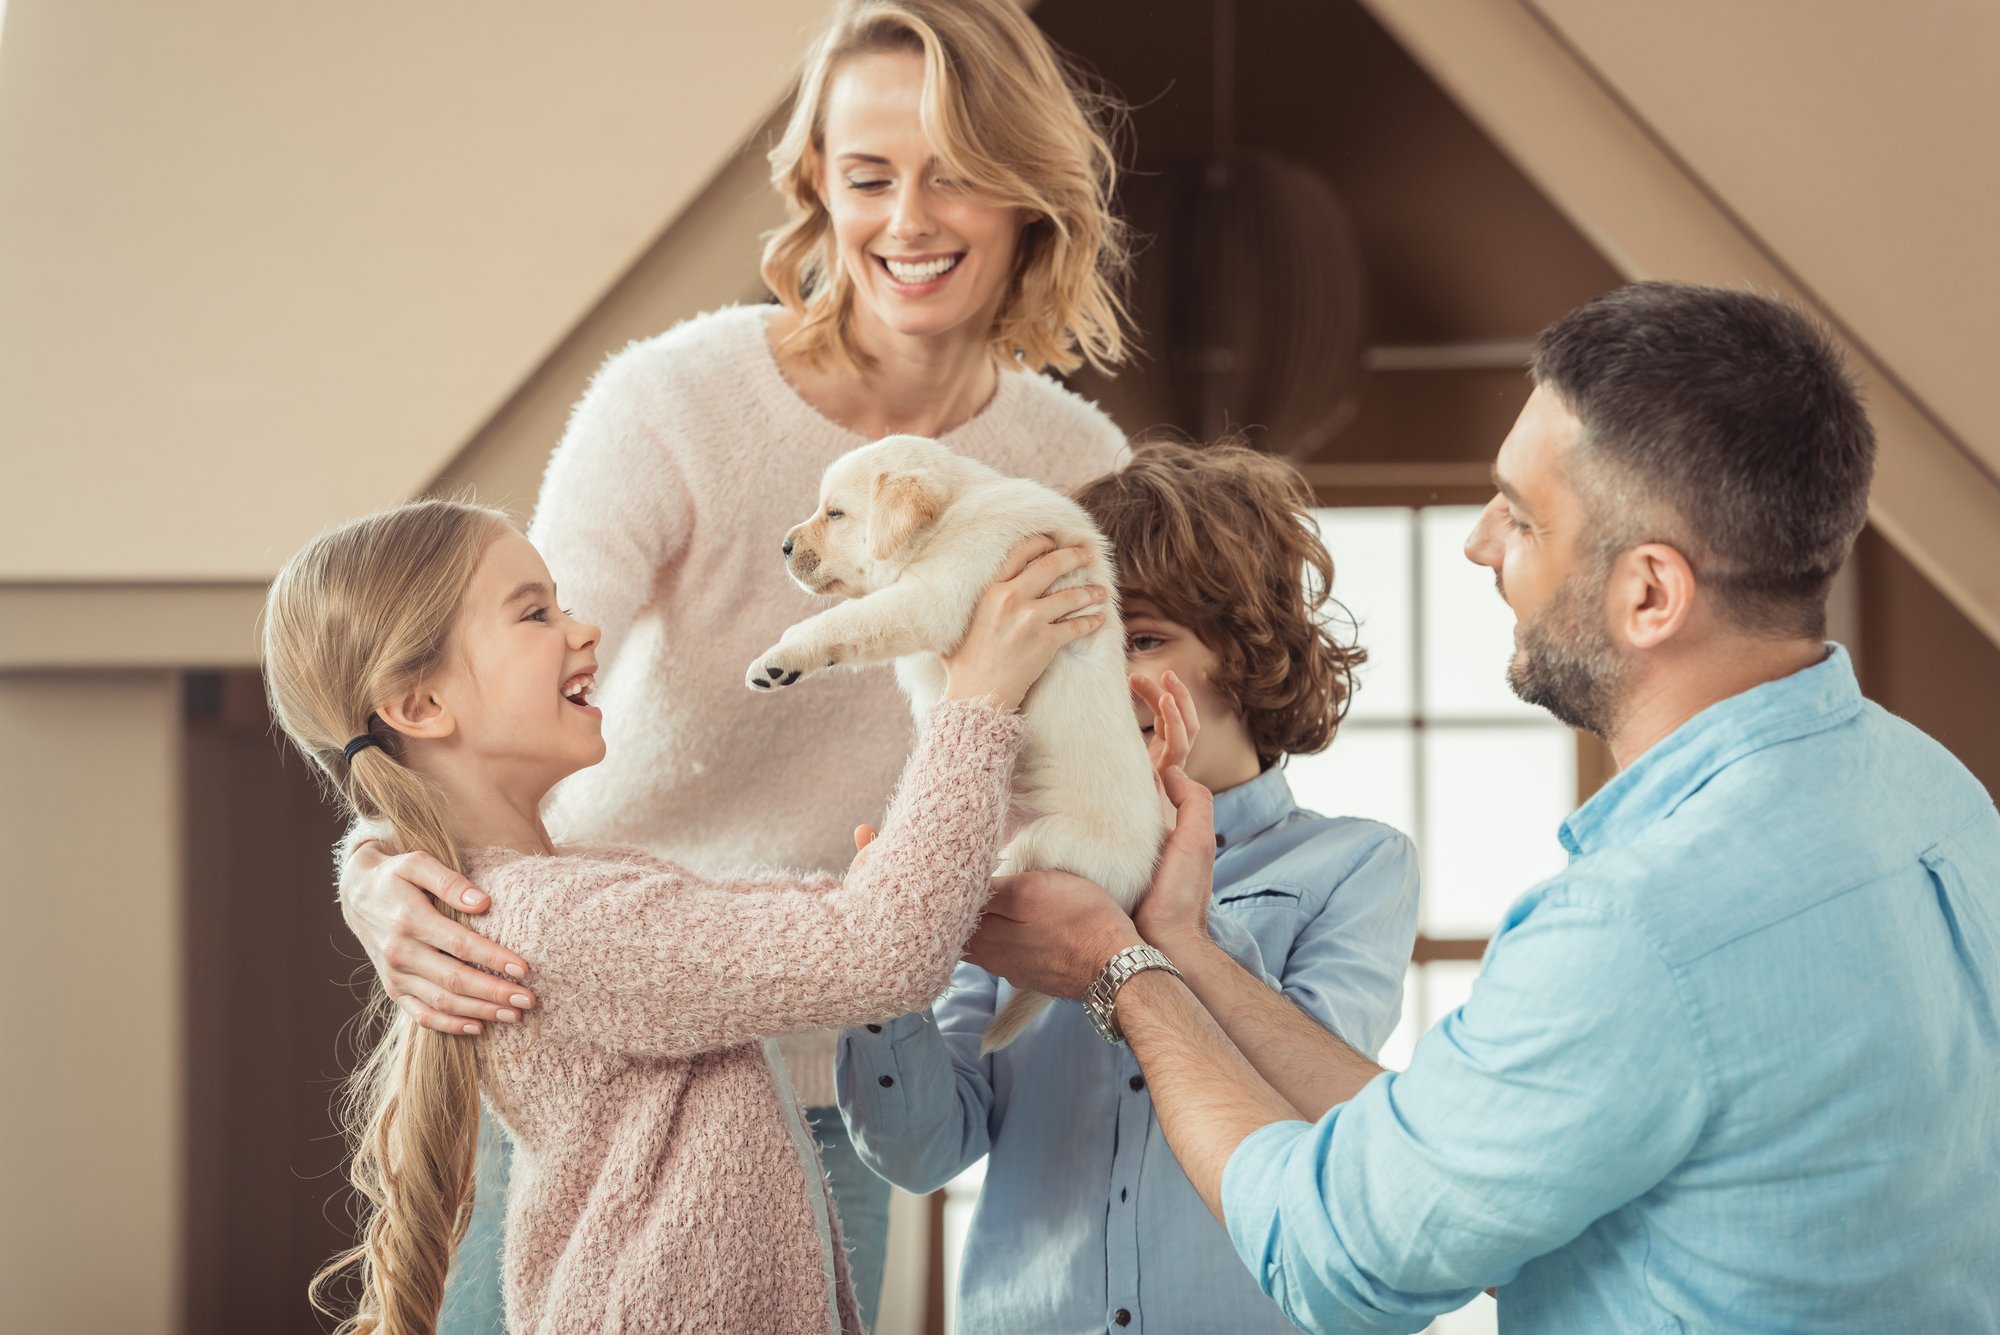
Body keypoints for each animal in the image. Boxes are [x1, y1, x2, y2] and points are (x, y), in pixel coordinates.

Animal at [744, 437, 1168, 1055]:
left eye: (836, 513)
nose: (782, 546)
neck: (951, 517)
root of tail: (1132, 887)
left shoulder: (931, 598)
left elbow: (843, 619)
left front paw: (778, 658)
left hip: (1044, 846)